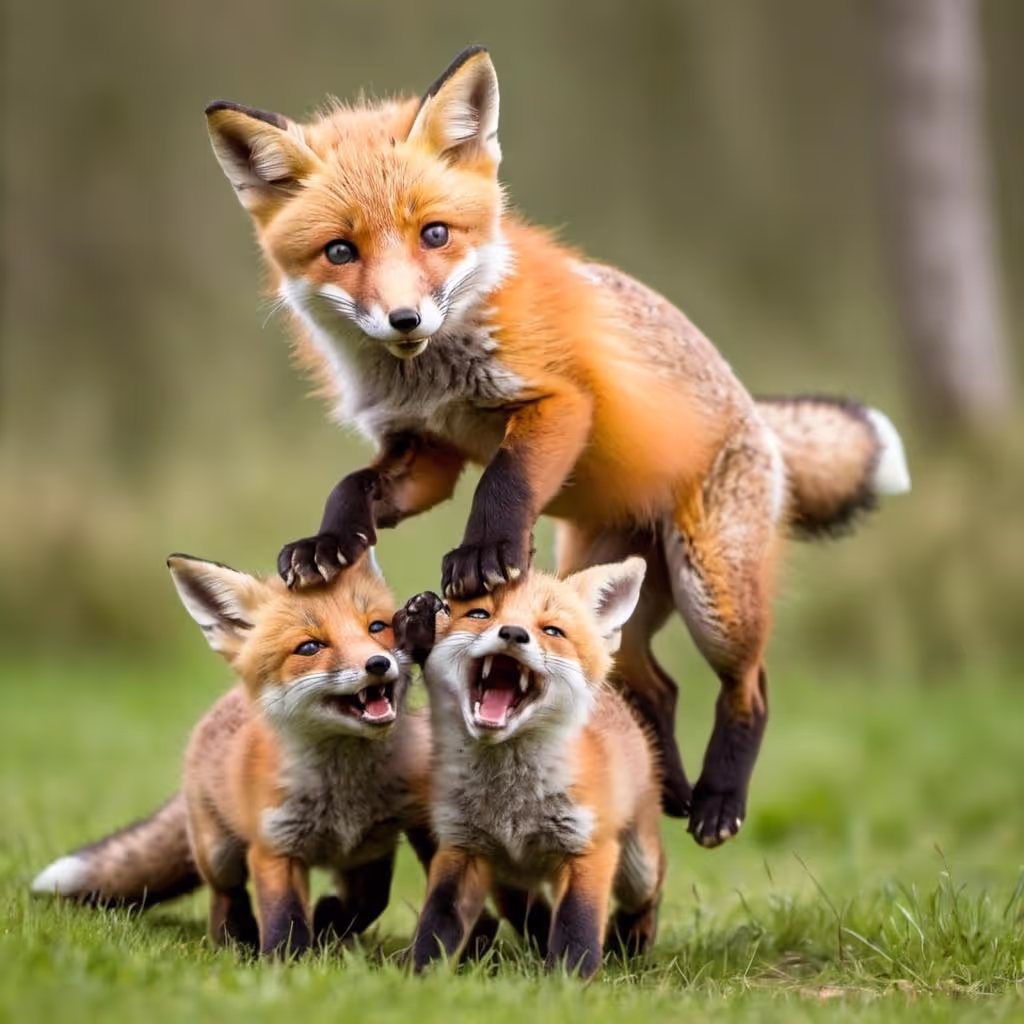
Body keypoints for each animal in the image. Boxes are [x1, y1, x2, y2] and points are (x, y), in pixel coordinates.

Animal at [32, 551, 439, 957]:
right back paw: (234, 942)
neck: (344, 794)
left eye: (377, 627)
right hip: (219, 855)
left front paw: (327, 922)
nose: (378, 663)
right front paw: (287, 963)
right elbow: (284, 918)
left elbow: (366, 903)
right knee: (224, 897)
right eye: (309, 648)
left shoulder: (371, 848)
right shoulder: (273, 847)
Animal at [203, 46, 912, 846]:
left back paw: (718, 800)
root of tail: (755, 415)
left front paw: (484, 554)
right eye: (340, 251)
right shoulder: (424, 448)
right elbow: (354, 484)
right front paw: (329, 542)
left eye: (434, 235)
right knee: (652, 684)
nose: (404, 319)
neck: (432, 373)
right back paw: (665, 785)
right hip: (603, 592)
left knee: (750, 686)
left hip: (715, 599)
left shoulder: (559, 402)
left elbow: (505, 477)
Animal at [401, 559, 663, 978]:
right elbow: (436, 924)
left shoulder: (587, 848)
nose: (512, 633)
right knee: (526, 910)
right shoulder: (462, 848)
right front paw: (419, 977)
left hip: (639, 866)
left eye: (552, 631)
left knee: (649, 891)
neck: (511, 804)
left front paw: (568, 981)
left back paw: (631, 942)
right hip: (503, 874)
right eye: (480, 614)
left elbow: (577, 927)